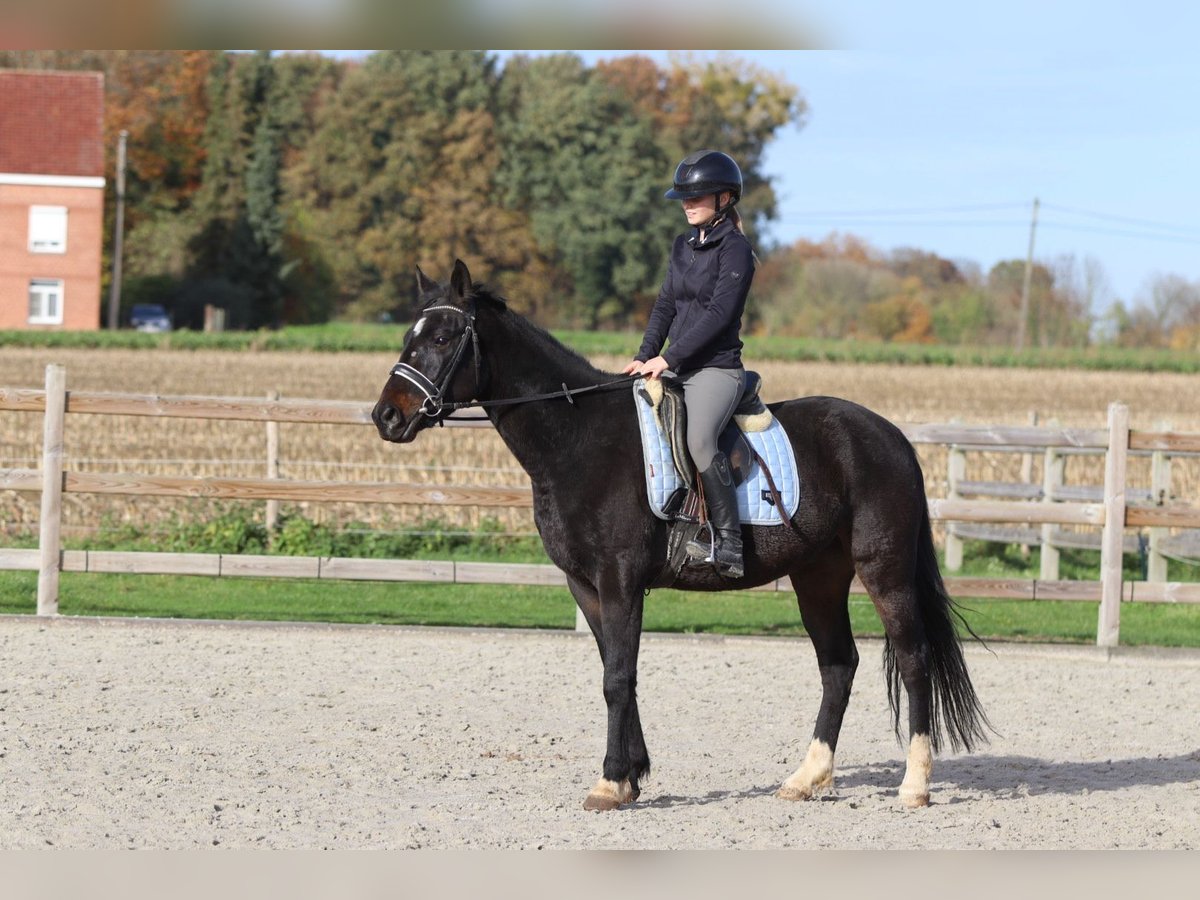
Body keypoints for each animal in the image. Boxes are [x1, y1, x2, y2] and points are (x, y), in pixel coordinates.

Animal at [372, 259, 991, 810]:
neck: (577, 438)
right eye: (408, 336)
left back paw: (914, 786)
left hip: (884, 571)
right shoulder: (586, 587)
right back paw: (805, 778)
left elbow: (618, 678)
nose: (386, 417)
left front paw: (610, 784)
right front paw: (631, 776)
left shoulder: (619, 581)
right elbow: (616, 672)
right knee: (838, 665)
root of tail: (891, 436)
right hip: (817, 576)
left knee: (913, 660)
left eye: (444, 335)